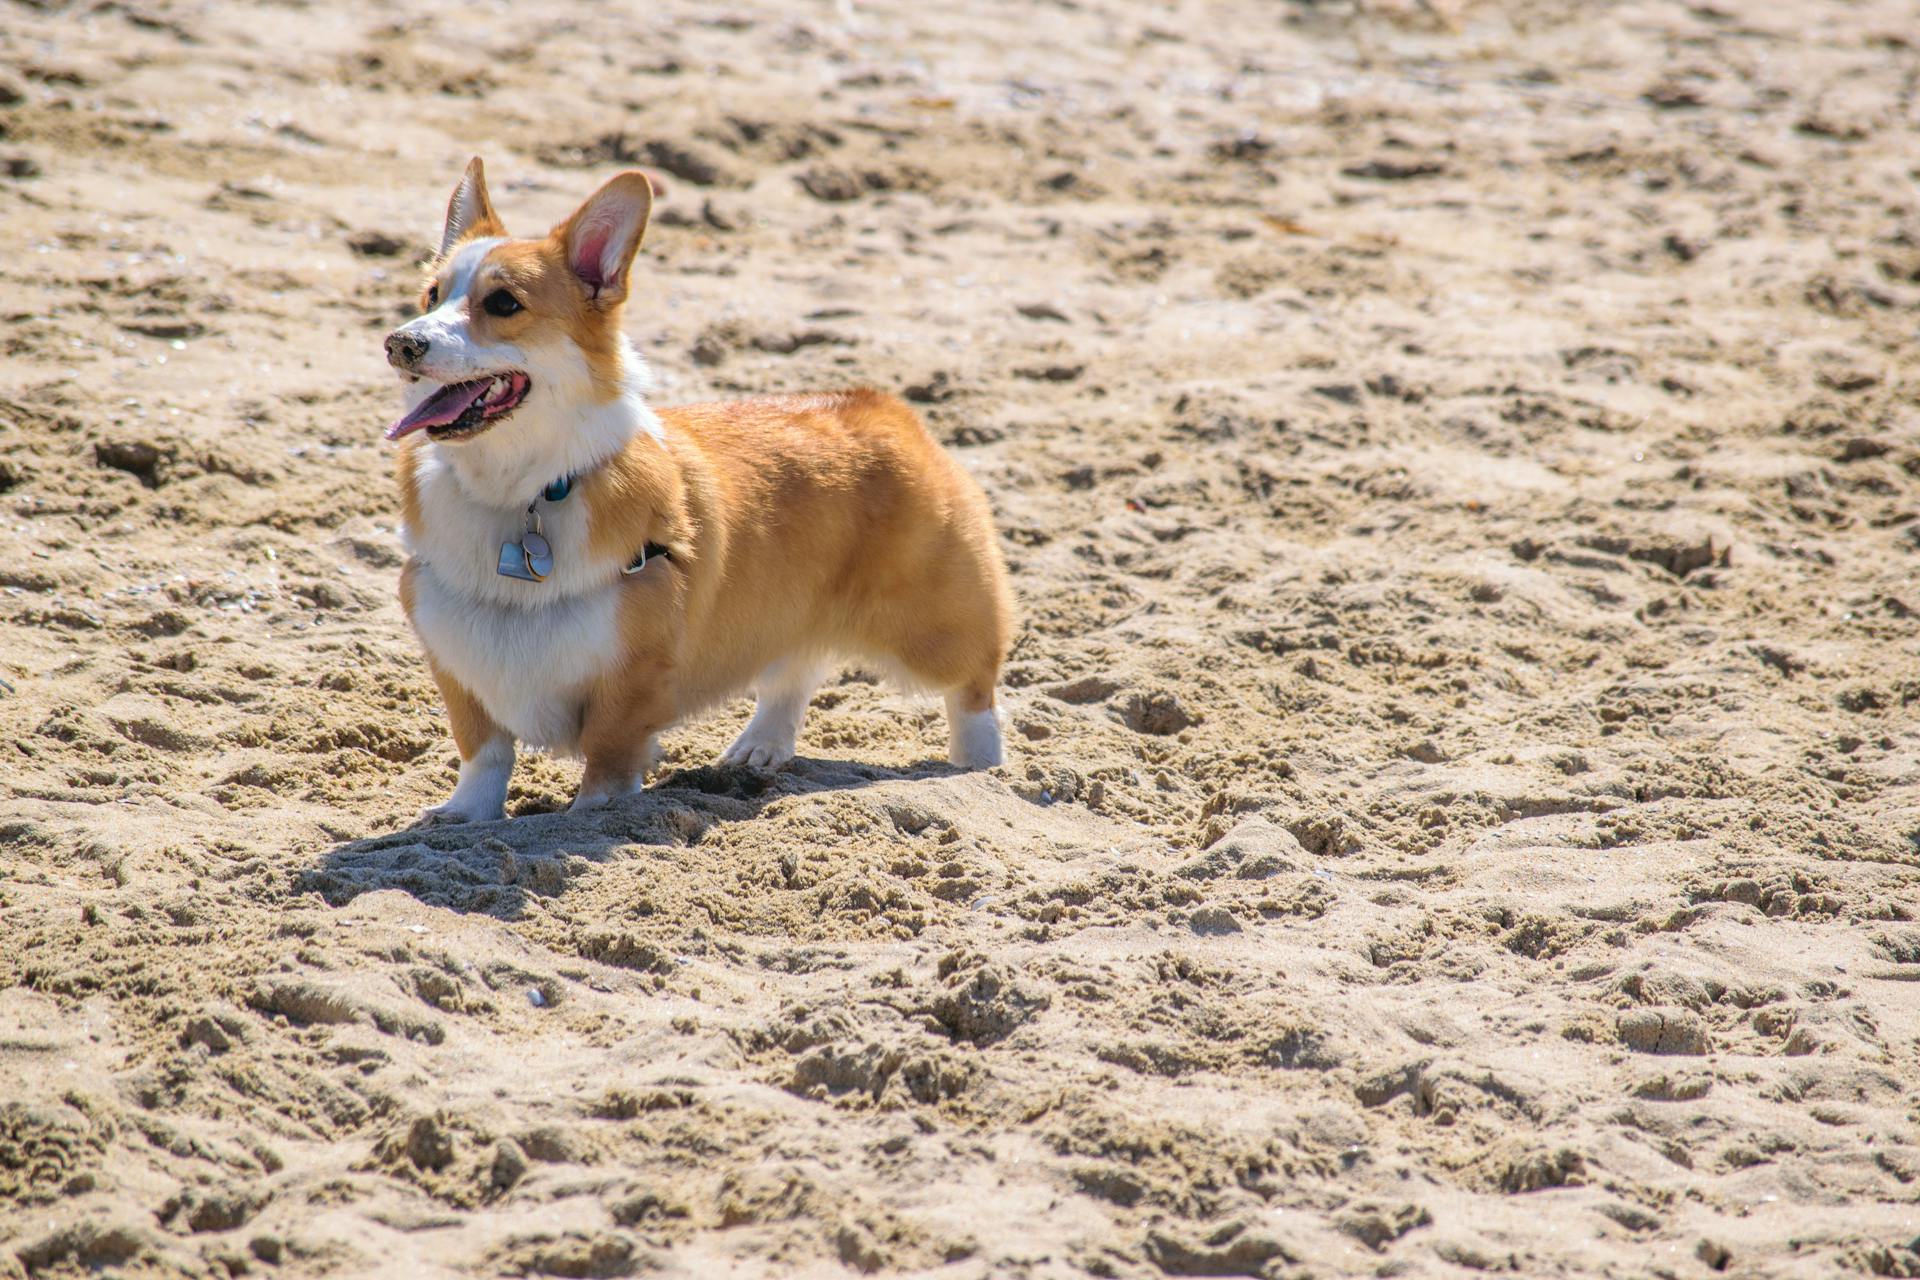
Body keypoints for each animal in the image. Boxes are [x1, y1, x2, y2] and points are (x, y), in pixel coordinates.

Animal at [382, 160, 1013, 825]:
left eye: (504, 303)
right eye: (431, 296)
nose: (401, 343)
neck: (521, 492)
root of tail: (884, 408)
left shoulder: (632, 677)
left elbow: (607, 759)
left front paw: (590, 817)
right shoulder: (457, 661)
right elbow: (484, 752)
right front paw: (462, 816)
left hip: (930, 624)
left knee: (975, 685)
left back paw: (982, 771)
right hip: (792, 612)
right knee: (795, 670)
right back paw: (760, 749)